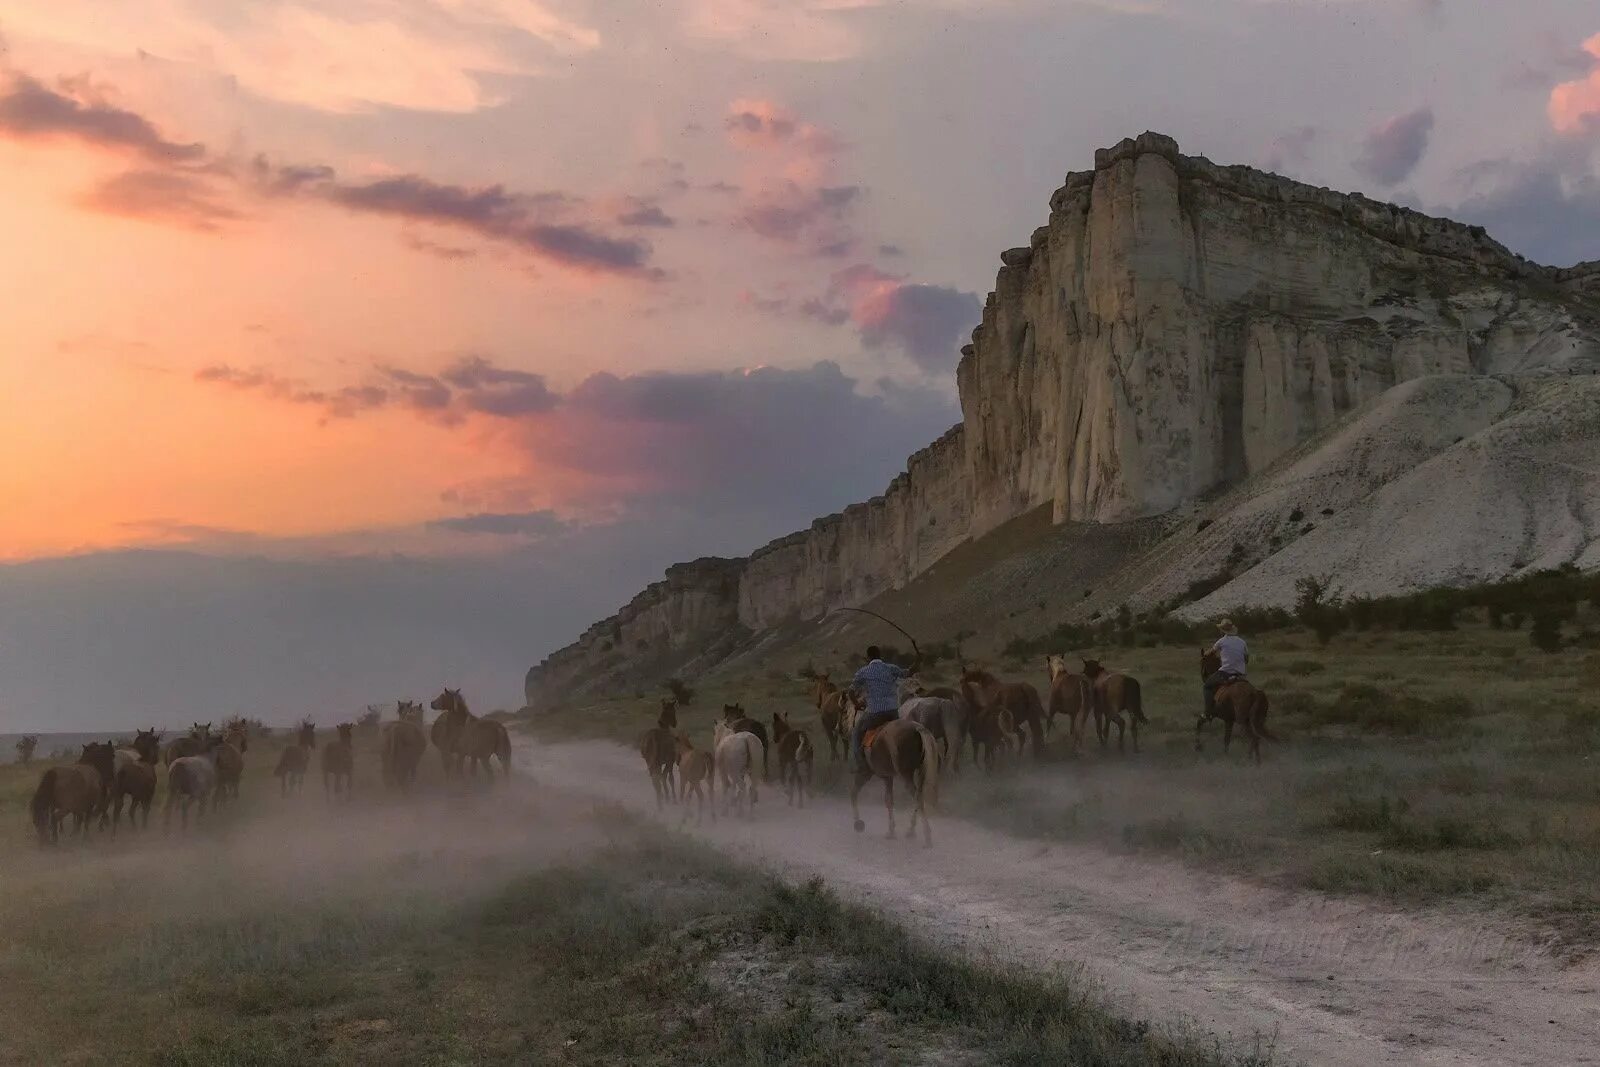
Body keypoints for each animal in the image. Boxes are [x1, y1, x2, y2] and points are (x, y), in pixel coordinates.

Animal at [851, 716, 934, 851]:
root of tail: (917, 728)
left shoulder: (865, 773)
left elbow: (853, 793)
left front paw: (858, 823)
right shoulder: (888, 777)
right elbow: (889, 800)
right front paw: (891, 831)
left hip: (905, 774)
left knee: (917, 797)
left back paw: (927, 837)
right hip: (920, 771)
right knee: (919, 796)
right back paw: (911, 831)